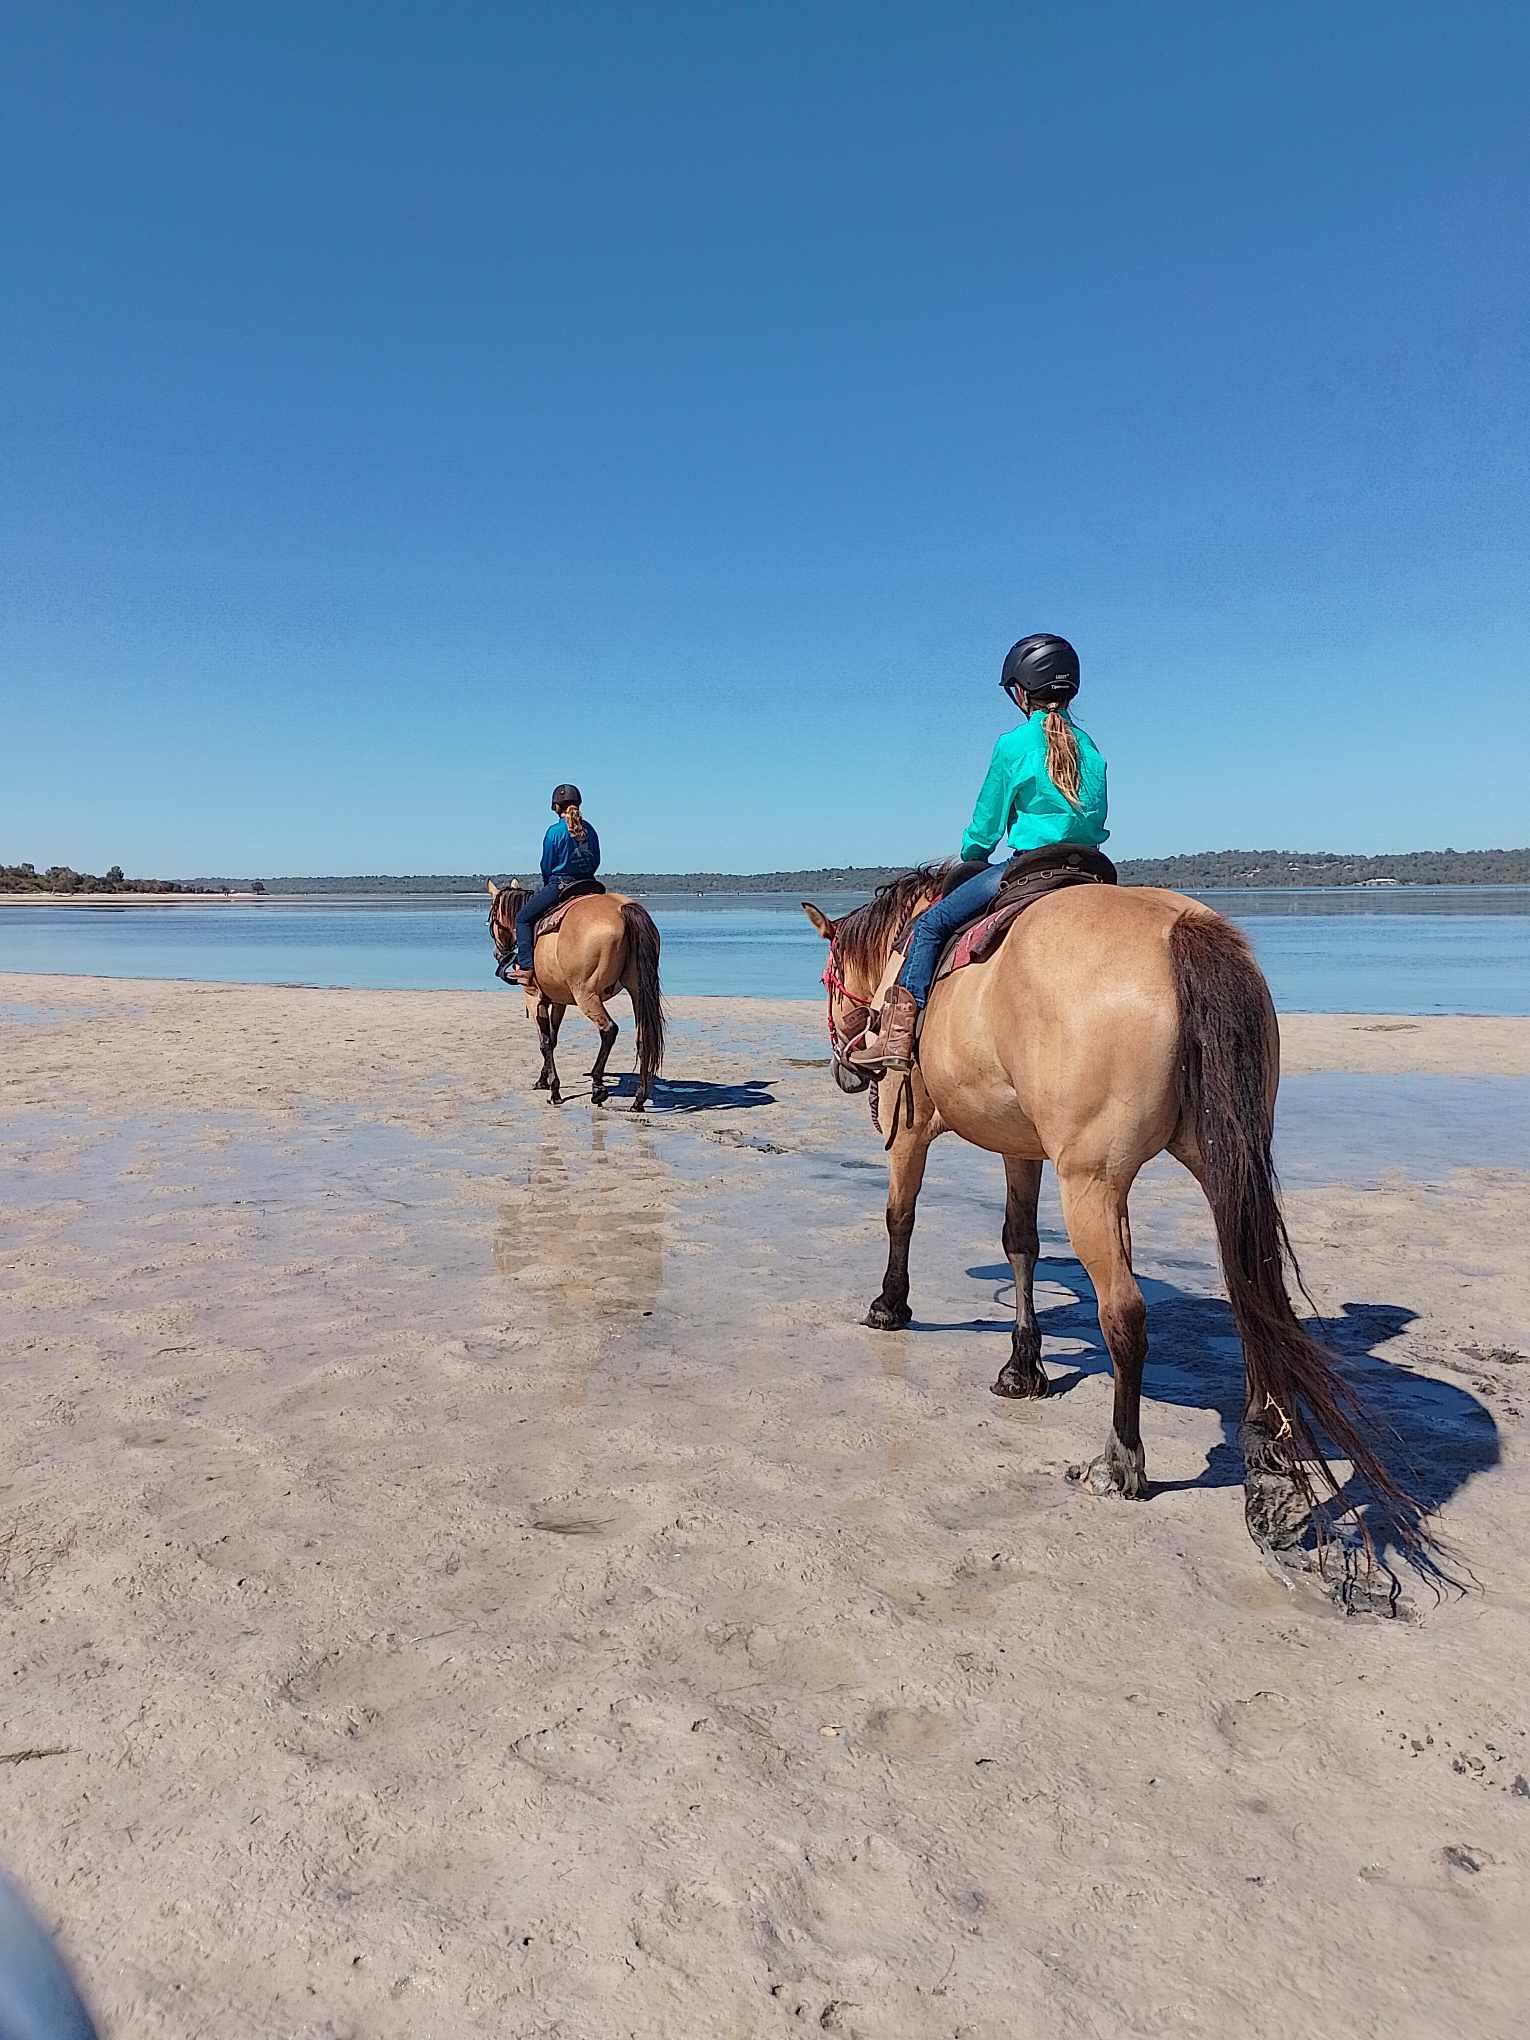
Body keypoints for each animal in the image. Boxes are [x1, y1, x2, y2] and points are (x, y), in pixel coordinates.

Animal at [487, 880, 665, 1112]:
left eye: (492, 920)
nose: (497, 953)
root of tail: (622, 909)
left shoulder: (534, 997)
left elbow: (544, 1042)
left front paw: (554, 1090)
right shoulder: (559, 1001)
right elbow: (552, 1039)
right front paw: (544, 1080)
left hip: (586, 995)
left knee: (609, 1030)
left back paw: (598, 1088)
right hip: (637, 991)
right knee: (643, 1038)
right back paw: (638, 1100)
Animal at [803, 866, 1431, 1578]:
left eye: (826, 979)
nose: (847, 1069)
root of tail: (1185, 933)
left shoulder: (908, 1126)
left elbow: (900, 1216)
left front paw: (890, 1304)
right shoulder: (1022, 1148)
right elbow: (1020, 1244)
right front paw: (1023, 1366)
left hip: (1094, 1183)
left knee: (1126, 1314)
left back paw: (1121, 1459)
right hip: (1224, 1164)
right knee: (1253, 1298)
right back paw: (1266, 1446)